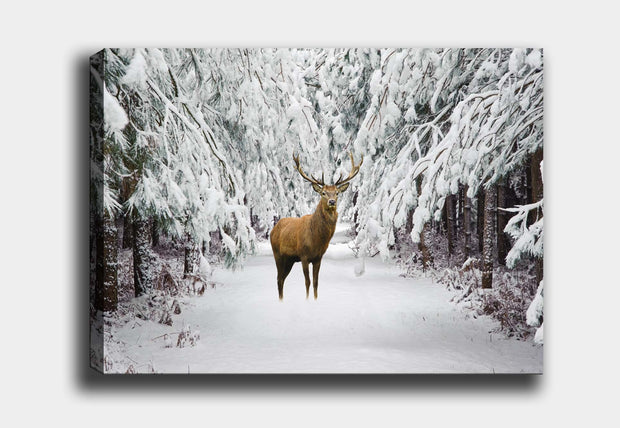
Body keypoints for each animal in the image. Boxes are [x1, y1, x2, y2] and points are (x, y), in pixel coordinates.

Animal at [268, 152, 364, 300]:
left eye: (337, 192)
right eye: (323, 193)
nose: (331, 201)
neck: (317, 239)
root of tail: (273, 229)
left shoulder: (318, 258)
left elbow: (316, 282)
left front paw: (315, 299)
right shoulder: (304, 255)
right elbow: (307, 282)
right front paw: (307, 300)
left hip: (289, 259)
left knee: (282, 279)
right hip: (277, 253)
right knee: (279, 279)